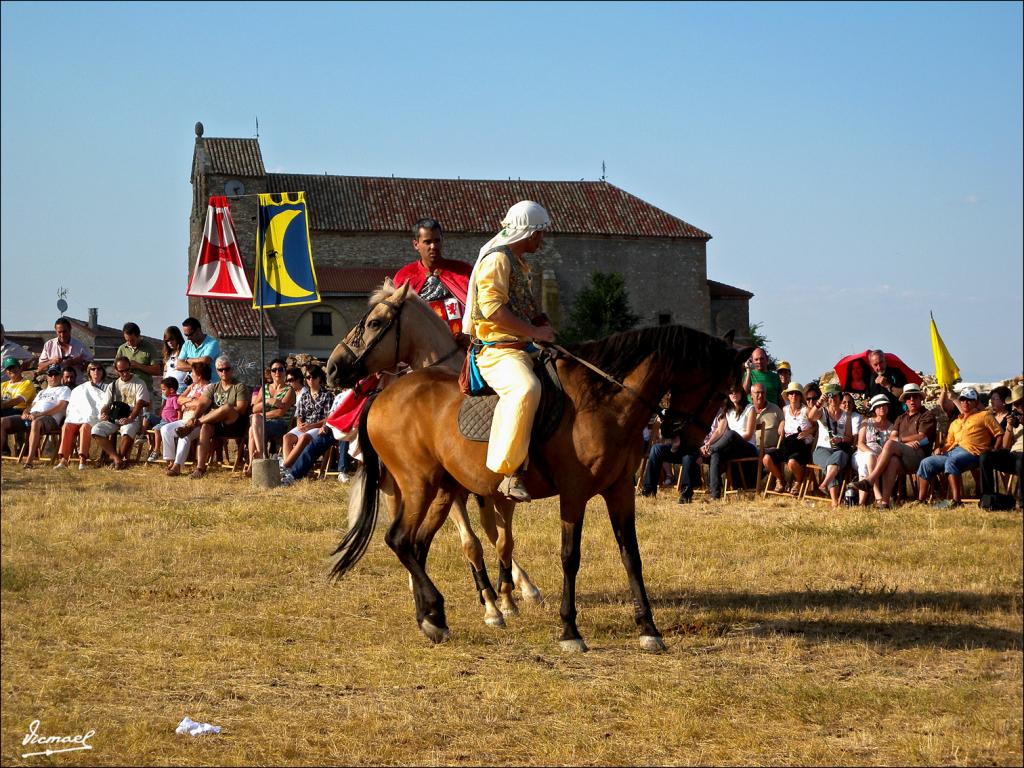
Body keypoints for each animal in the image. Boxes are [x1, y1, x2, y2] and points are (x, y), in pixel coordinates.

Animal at [327, 280, 540, 626]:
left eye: (374, 323)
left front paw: (514, 592)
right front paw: (491, 604)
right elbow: (472, 543)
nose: (332, 367)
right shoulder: (455, 494)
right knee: (405, 532)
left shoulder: (484, 487)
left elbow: (496, 536)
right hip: (398, 487)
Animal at [333, 313, 753, 655]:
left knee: (417, 544)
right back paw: (438, 612)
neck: (604, 400)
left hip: (442, 491)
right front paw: (570, 631)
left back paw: (432, 617)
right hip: (418, 485)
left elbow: (631, 556)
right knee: (400, 540)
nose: (689, 443)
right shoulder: (574, 493)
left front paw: (649, 629)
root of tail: (382, 394)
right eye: (721, 393)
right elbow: (570, 557)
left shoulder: (619, 492)